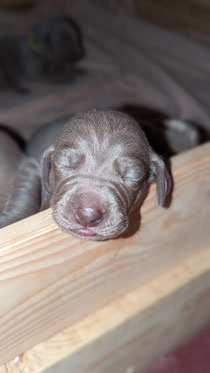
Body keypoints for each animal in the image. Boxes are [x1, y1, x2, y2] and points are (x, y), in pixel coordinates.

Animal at [0, 109, 171, 240]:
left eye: (132, 175)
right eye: (65, 163)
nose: (88, 215)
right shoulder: (32, 164)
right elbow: (25, 194)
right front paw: (9, 221)